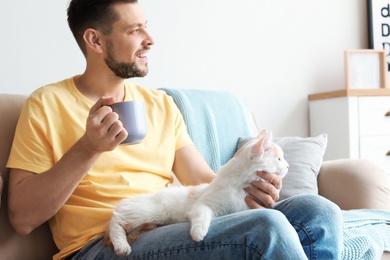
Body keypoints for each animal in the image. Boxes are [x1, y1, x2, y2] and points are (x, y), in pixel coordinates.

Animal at [105, 129, 288, 255]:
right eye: (279, 159)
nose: (287, 166)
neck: (238, 188)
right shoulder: (203, 205)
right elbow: (202, 216)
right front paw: (198, 232)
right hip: (145, 213)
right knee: (116, 221)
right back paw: (122, 246)